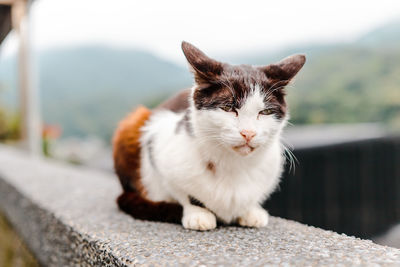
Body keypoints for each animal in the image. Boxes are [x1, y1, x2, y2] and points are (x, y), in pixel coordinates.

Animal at [112, 40, 306, 231]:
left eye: (265, 112)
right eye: (228, 108)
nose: (248, 133)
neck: (233, 164)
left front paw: (250, 210)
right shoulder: (159, 143)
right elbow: (181, 191)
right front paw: (198, 213)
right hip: (133, 122)